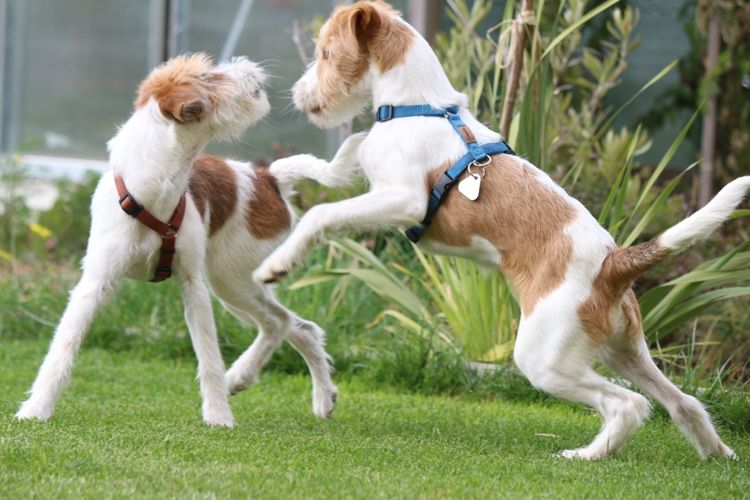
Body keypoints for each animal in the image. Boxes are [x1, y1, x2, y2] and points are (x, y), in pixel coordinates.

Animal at [16, 53, 362, 426]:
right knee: (295, 326)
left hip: (231, 280)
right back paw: (313, 396)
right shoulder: (94, 284)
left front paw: (218, 416)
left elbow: (209, 356)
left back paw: (242, 379)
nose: (250, 64)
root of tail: (267, 176)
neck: (151, 192)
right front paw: (36, 409)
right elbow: (62, 349)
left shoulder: (194, 285)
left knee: (280, 323)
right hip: (236, 286)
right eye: (209, 77)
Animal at [252, 1, 748, 459]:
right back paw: (717, 454)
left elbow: (321, 214)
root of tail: (615, 260)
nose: (296, 94)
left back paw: (586, 455)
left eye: (325, 53)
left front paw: (276, 265)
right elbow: (329, 177)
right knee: (683, 402)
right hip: (622, 350)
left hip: (545, 358)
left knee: (628, 405)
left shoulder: (403, 199)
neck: (418, 107)